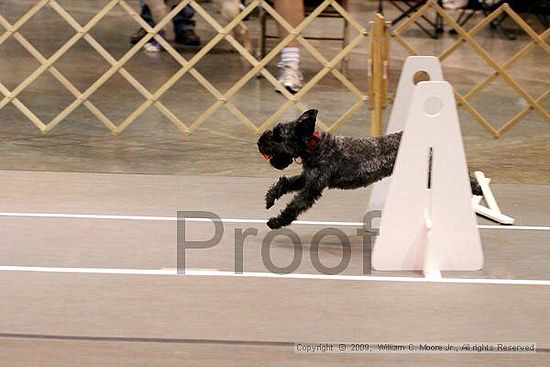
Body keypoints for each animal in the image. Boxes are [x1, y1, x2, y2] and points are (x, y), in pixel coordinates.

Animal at [258, 109, 484, 230]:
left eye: (278, 135)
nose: (259, 142)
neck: (315, 146)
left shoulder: (313, 188)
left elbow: (294, 205)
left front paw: (276, 221)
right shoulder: (308, 178)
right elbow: (285, 183)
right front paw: (270, 198)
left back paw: (477, 188)